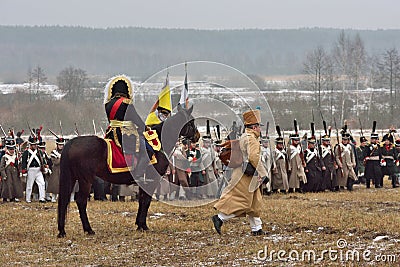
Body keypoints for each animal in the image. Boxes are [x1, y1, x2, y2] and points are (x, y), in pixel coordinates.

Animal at [56, 105, 198, 239]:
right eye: (191, 122)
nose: (197, 136)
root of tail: (72, 142)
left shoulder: (144, 182)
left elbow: (142, 201)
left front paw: (139, 224)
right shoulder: (152, 179)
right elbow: (146, 201)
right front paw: (143, 225)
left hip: (73, 178)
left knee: (65, 200)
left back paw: (62, 231)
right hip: (85, 179)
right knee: (81, 200)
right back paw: (88, 229)